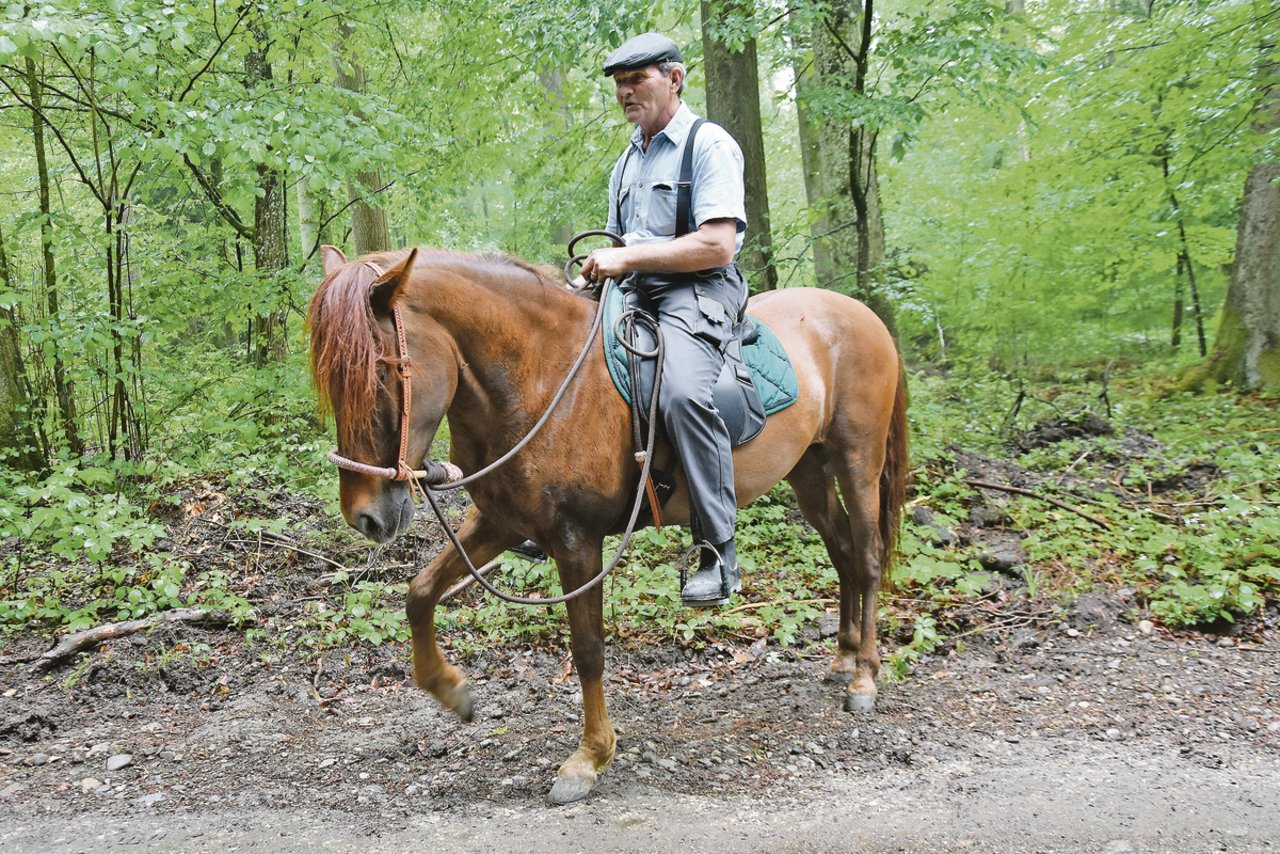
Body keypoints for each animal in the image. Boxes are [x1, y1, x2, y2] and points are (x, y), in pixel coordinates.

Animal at [307, 243, 911, 804]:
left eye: (379, 372)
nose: (366, 516)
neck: (539, 376)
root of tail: (861, 314)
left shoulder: (578, 540)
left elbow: (588, 648)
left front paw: (590, 756)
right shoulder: (500, 523)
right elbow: (420, 592)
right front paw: (452, 691)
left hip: (857, 460)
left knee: (867, 555)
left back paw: (865, 676)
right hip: (808, 470)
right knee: (842, 552)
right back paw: (843, 658)